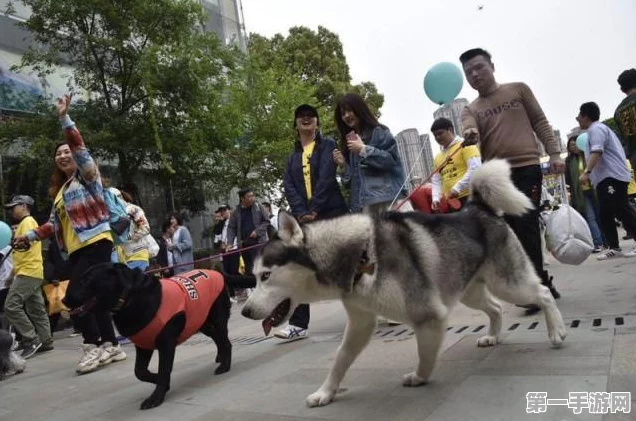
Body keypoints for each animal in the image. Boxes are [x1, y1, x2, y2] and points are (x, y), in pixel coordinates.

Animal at [75, 264, 234, 408]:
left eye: (88, 279)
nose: (68, 297)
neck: (130, 298)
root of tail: (217, 272)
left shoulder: (166, 344)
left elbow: (163, 371)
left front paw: (156, 397)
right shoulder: (143, 344)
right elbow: (139, 371)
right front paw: (159, 381)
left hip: (217, 317)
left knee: (225, 341)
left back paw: (225, 365)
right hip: (199, 320)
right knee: (217, 337)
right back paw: (221, 357)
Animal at [242, 159, 568, 406]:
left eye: (265, 275)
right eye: (254, 277)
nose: (244, 311)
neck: (362, 255)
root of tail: (477, 207)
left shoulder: (429, 314)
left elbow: (425, 353)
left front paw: (420, 377)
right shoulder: (361, 321)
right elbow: (340, 358)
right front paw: (326, 392)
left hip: (508, 284)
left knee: (541, 292)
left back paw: (557, 331)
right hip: (469, 291)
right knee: (496, 308)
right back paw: (493, 336)